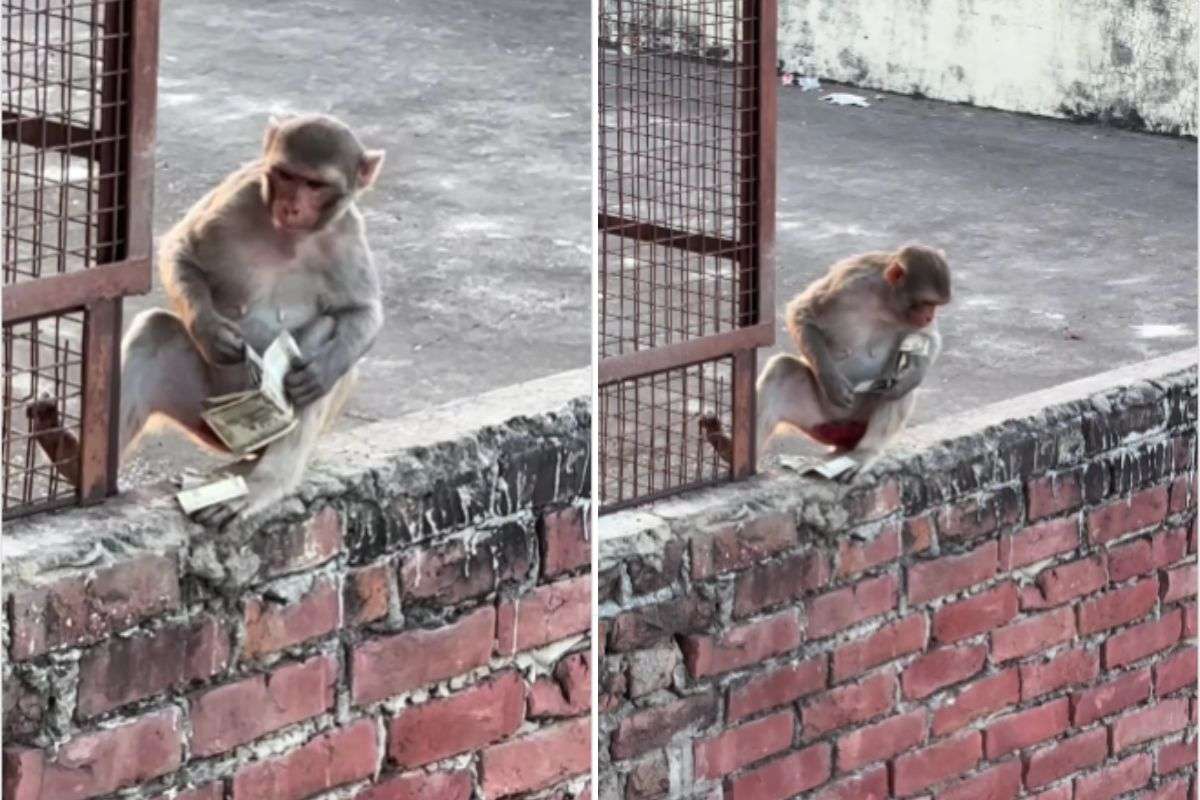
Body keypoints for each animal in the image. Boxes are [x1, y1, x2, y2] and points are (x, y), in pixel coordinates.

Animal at [29, 113, 385, 526]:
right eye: (286, 174)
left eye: (315, 184)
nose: (291, 205)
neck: (288, 237)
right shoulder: (240, 194)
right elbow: (181, 251)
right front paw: (212, 332)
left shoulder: (347, 232)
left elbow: (363, 312)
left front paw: (320, 373)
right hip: (200, 408)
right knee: (154, 331)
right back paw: (69, 455)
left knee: (322, 336)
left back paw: (265, 482)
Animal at [702, 244, 951, 476]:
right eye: (926, 302)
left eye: (935, 305)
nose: (929, 315)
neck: (886, 300)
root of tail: (842, 430)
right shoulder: (852, 278)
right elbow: (803, 314)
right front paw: (832, 381)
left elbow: (929, 338)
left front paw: (914, 373)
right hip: (818, 418)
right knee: (782, 369)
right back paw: (729, 450)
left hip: (859, 420)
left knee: (900, 391)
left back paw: (864, 452)